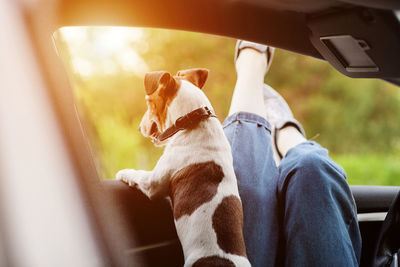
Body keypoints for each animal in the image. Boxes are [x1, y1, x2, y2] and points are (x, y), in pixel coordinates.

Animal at [115, 68, 252, 266]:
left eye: (149, 102)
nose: (139, 128)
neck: (193, 120)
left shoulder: (152, 184)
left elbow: (137, 175)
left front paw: (123, 172)